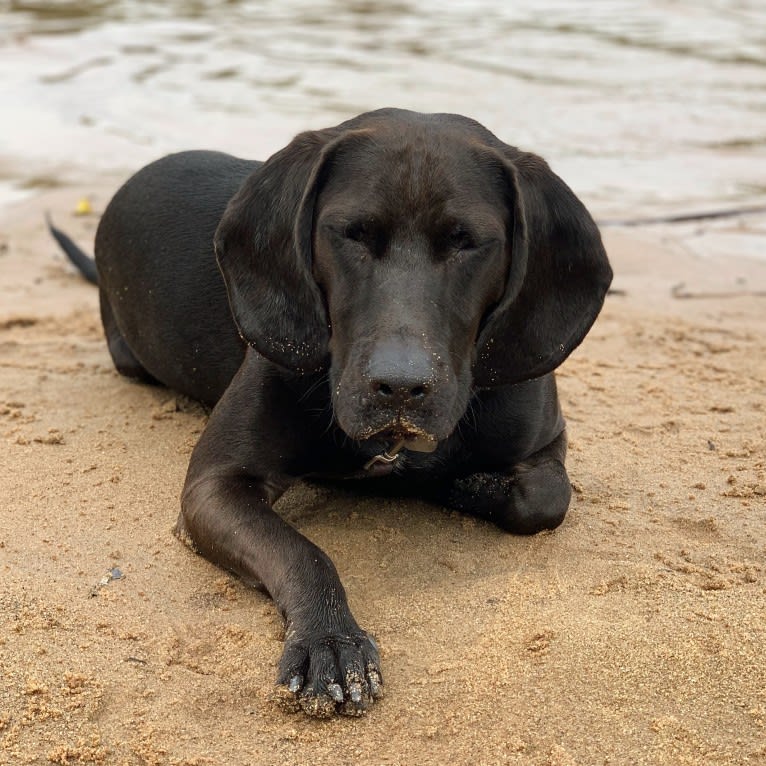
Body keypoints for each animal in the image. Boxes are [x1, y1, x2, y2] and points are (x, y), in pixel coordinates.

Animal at [49, 108, 612, 720]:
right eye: (351, 234)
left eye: (467, 242)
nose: (399, 387)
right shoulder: (214, 487)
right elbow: (302, 553)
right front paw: (330, 639)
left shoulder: (546, 441)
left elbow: (546, 499)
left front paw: (459, 485)